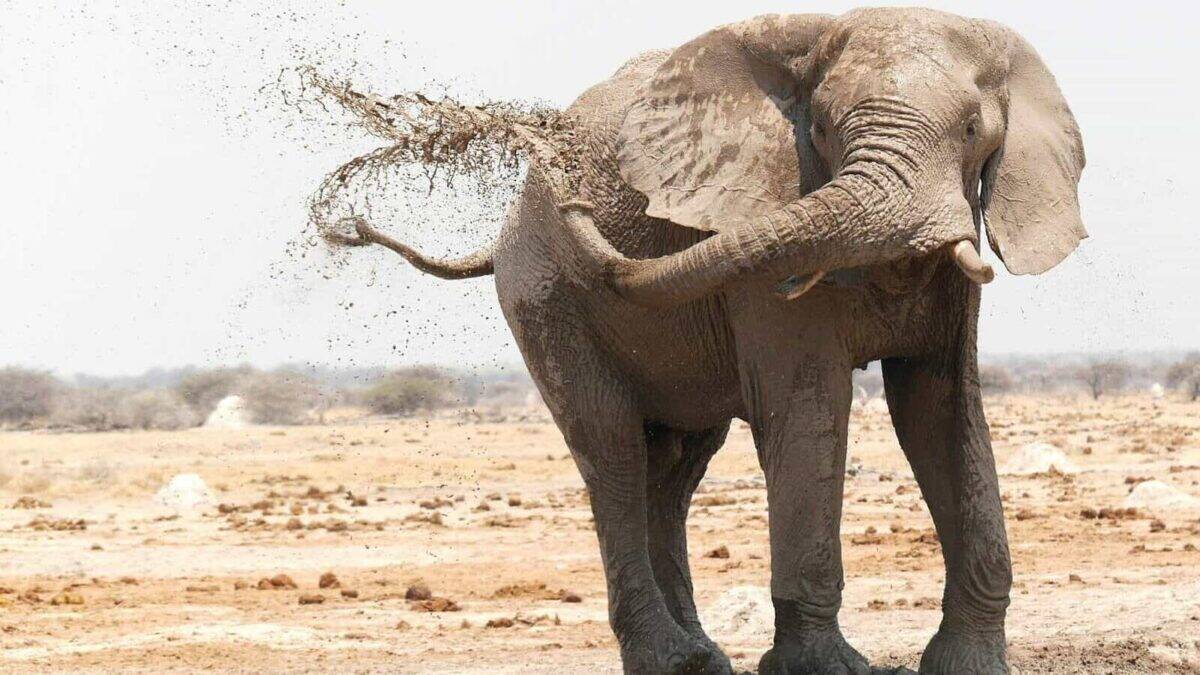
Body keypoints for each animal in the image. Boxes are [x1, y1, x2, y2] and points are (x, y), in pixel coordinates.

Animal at [339, 7, 1086, 674]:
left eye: (973, 129)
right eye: (820, 129)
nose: (575, 198)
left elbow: (941, 409)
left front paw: (969, 664)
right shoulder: (760, 240)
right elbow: (810, 405)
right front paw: (828, 668)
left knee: (671, 471)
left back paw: (702, 657)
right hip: (545, 298)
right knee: (612, 454)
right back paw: (669, 660)